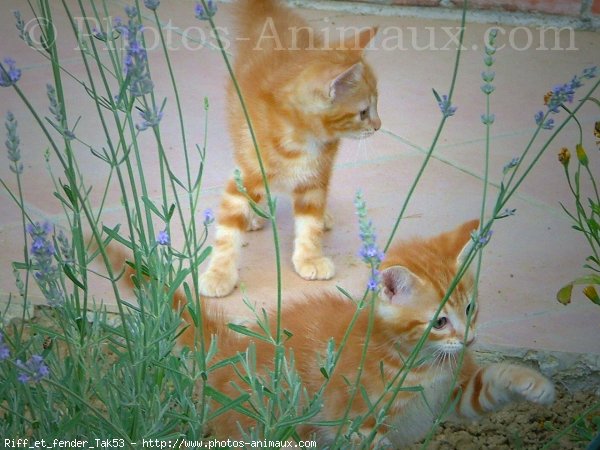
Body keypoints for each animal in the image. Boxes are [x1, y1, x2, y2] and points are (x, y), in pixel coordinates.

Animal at [173, 220, 552, 444]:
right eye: (440, 322)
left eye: (470, 309)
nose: (469, 339)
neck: (418, 363)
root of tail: (232, 346)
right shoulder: (361, 425)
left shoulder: (456, 392)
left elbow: (491, 380)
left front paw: (534, 384)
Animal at [199, 0, 382, 298]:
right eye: (364, 112)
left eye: (376, 106)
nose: (378, 126)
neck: (300, 139)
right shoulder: (248, 170)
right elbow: (228, 229)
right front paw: (219, 274)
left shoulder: (316, 178)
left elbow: (310, 223)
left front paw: (310, 257)